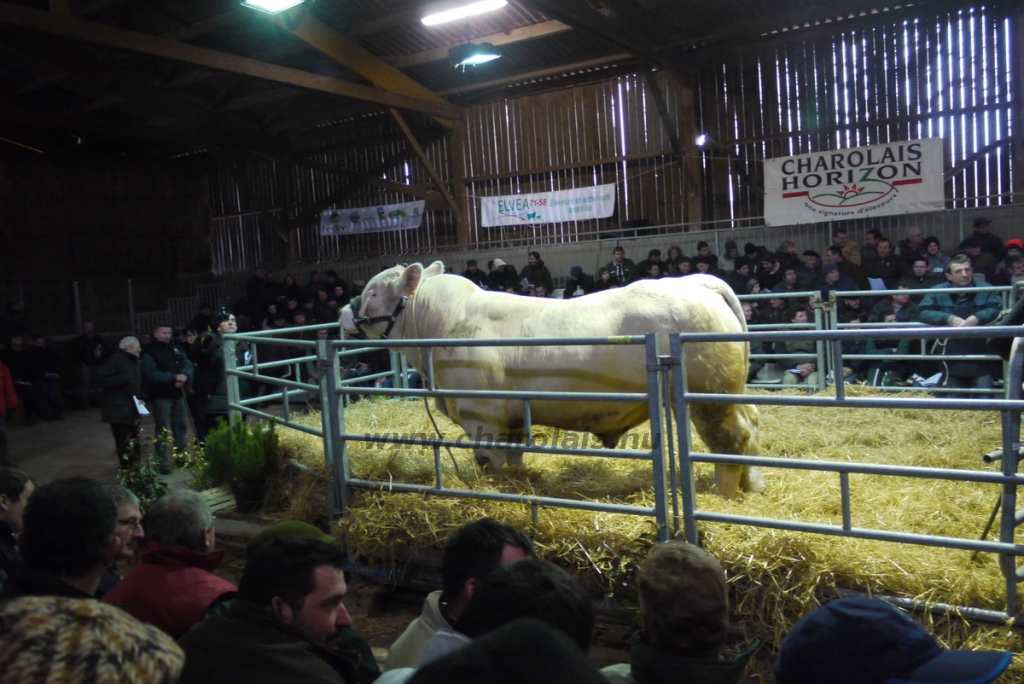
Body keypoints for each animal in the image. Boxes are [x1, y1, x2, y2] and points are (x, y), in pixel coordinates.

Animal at [344, 260, 761, 497]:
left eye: (373, 291)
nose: (344, 312)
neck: (439, 327)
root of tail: (698, 283)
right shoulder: (510, 417)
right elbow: (514, 458)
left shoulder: (481, 415)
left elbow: (489, 462)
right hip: (730, 390)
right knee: (752, 426)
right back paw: (753, 487)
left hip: (707, 395)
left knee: (730, 439)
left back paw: (723, 496)